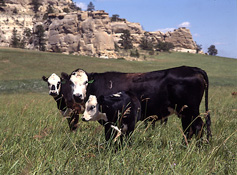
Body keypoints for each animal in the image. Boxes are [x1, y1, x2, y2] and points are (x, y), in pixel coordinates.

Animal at [63, 66, 211, 142]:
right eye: (71, 83)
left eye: (86, 82)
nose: (77, 96)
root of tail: (193, 69)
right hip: (186, 113)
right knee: (189, 129)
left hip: (190, 110)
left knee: (198, 127)